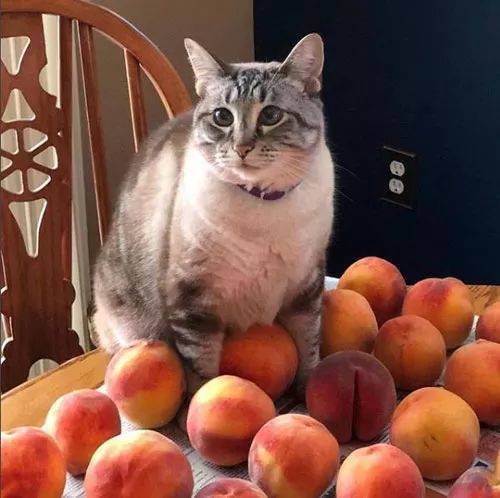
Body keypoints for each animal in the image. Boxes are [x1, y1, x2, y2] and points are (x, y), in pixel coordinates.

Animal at [92, 33, 335, 392]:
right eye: (223, 117)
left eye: (270, 115)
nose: (242, 147)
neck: (263, 203)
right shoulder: (193, 303)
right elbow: (202, 375)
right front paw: (199, 402)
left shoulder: (307, 286)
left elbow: (309, 350)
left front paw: (306, 393)